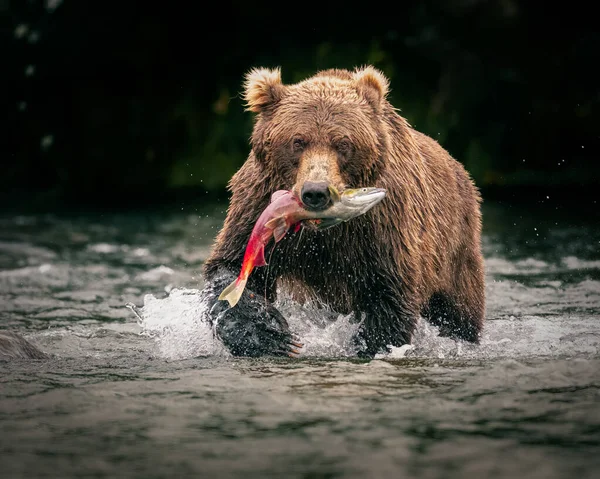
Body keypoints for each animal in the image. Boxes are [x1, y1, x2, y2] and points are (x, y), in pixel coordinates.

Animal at [203, 65, 488, 358]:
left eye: (343, 144)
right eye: (297, 141)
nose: (316, 192)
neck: (322, 232)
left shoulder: (383, 227)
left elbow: (391, 293)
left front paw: (367, 345)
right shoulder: (257, 206)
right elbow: (232, 266)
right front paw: (270, 333)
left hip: (455, 251)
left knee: (458, 311)